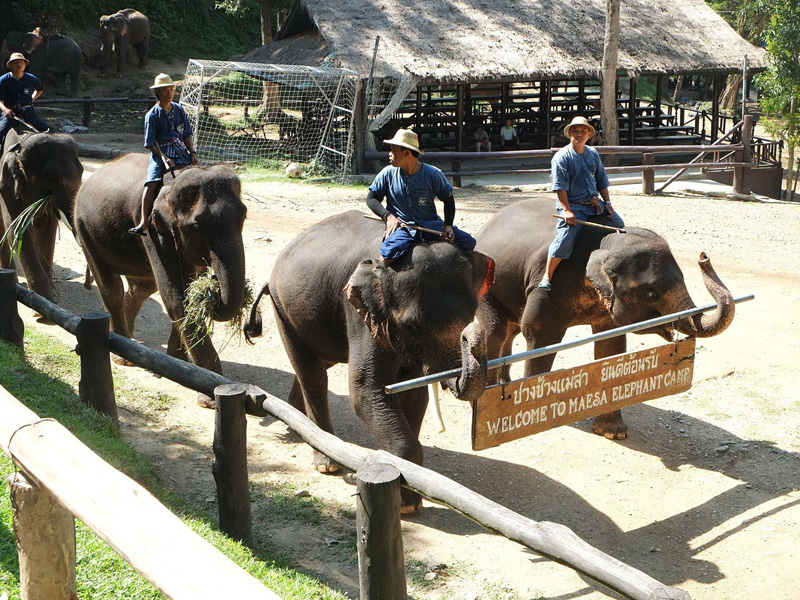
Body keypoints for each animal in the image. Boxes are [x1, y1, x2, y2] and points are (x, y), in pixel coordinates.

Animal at [0, 128, 83, 302]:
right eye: (50, 178)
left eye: (82, 173)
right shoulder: (6, 186)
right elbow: (17, 230)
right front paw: (45, 299)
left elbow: (47, 229)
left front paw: (51, 293)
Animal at [75, 152, 250, 400]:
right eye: (197, 225)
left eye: (244, 215)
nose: (214, 285)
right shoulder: (153, 230)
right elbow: (176, 297)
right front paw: (210, 395)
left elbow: (184, 293)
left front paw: (178, 361)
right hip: (84, 229)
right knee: (112, 288)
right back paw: (123, 354)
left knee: (142, 288)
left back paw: (129, 338)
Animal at [244, 211, 494, 510]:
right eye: (414, 327)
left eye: (471, 314)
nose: (471, 335)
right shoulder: (359, 311)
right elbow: (365, 390)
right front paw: (406, 504)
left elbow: (414, 394)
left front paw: (411, 500)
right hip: (284, 310)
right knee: (313, 376)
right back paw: (325, 461)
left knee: (316, 364)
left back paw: (297, 424)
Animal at [472, 199, 736, 438]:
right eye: (651, 293)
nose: (703, 257)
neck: (606, 242)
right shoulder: (544, 287)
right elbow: (540, 338)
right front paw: (532, 422)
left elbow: (611, 345)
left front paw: (613, 433)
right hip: (485, 284)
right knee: (496, 330)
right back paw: (490, 392)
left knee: (510, 329)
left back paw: (504, 387)